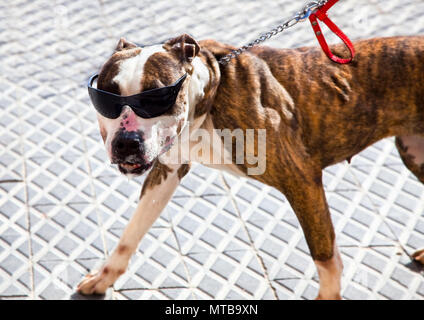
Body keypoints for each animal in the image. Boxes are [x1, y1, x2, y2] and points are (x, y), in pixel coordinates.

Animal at [77, 35, 424, 300]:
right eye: (106, 98)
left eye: (156, 97)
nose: (127, 142)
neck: (210, 98)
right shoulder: (166, 172)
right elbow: (131, 232)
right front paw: (104, 277)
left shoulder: (302, 180)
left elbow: (325, 256)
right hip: (415, 153)